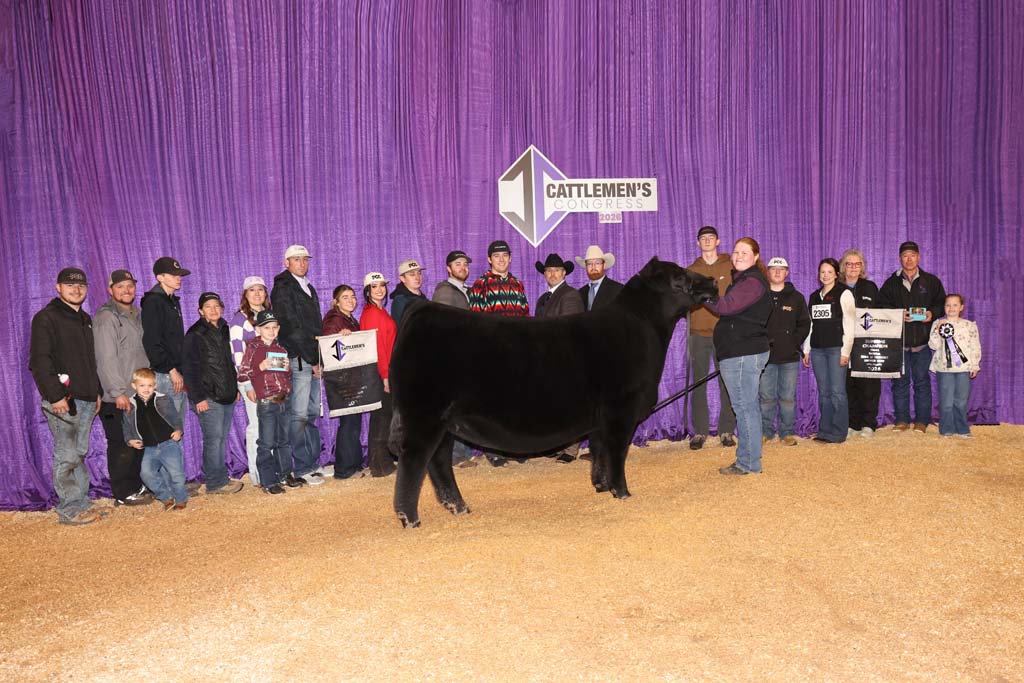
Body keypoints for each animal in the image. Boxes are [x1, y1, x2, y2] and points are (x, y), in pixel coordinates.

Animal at [387, 257, 718, 528]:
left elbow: (599, 450)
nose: (713, 282)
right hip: (423, 416)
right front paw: (622, 492)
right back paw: (410, 519)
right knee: (414, 461)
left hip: (444, 420)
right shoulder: (621, 410)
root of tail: (423, 309)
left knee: (439, 461)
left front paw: (600, 486)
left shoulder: (601, 418)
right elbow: (616, 452)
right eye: (679, 278)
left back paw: (458, 507)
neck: (643, 327)